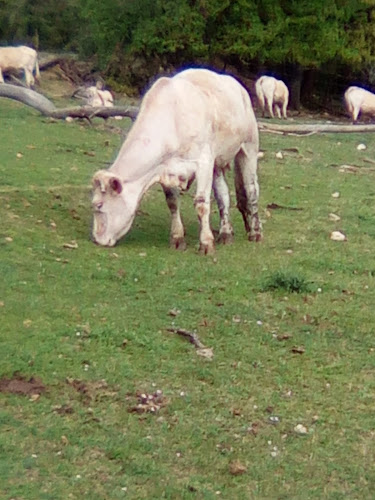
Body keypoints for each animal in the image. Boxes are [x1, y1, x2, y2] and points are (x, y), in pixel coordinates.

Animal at [91, 67, 262, 254]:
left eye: (99, 205)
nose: (97, 240)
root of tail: (239, 87)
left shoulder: (203, 162)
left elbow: (201, 204)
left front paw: (206, 243)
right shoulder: (165, 169)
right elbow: (173, 202)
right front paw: (177, 238)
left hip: (249, 147)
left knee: (252, 189)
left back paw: (255, 232)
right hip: (217, 160)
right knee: (223, 195)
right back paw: (225, 233)